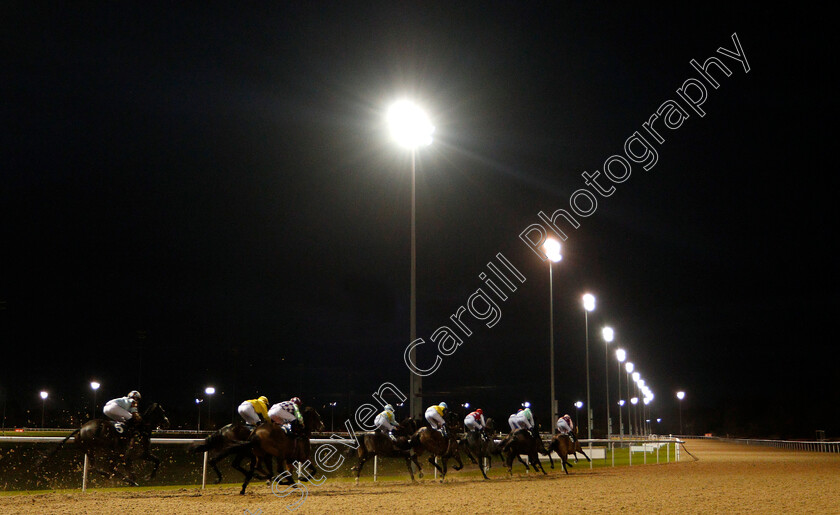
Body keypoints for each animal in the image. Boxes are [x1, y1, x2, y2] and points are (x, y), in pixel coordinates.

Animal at [42, 404, 171, 488]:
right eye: (162, 412)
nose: (167, 422)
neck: (140, 428)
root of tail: (81, 429)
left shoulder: (142, 454)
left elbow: (157, 460)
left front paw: (149, 477)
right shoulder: (127, 457)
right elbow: (135, 473)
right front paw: (138, 480)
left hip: (93, 451)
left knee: (98, 468)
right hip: (104, 450)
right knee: (105, 468)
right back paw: (116, 477)